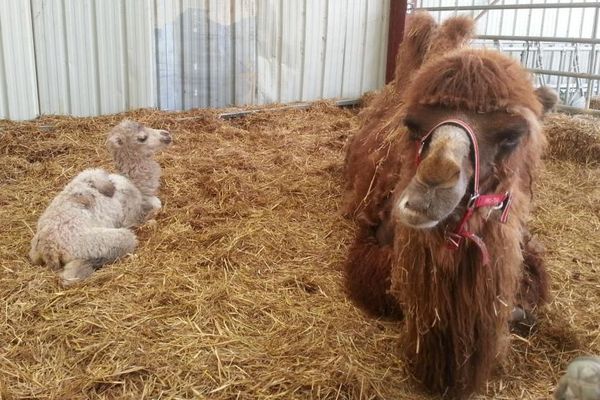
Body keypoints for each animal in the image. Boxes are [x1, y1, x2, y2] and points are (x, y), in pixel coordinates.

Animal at [29, 119, 171, 284]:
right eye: (142, 138)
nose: (166, 135)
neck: (136, 185)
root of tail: (49, 248)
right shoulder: (130, 212)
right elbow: (151, 210)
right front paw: (150, 222)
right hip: (95, 241)